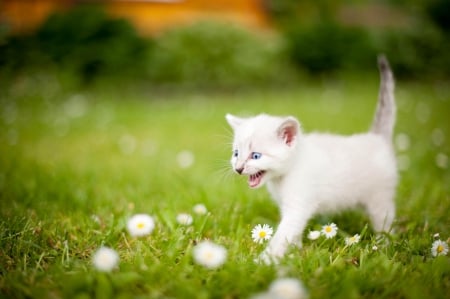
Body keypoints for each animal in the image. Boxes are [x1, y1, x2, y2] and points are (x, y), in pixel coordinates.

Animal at [227, 56, 396, 262]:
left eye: (256, 156)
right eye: (236, 154)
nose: (238, 168)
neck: (283, 177)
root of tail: (376, 137)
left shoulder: (298, 206)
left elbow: (282, 235)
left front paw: (265, 260)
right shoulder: (287, 206)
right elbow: (293, 234)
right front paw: (295, 252)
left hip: (380, 197)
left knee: (385, 222)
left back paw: (384, 245)